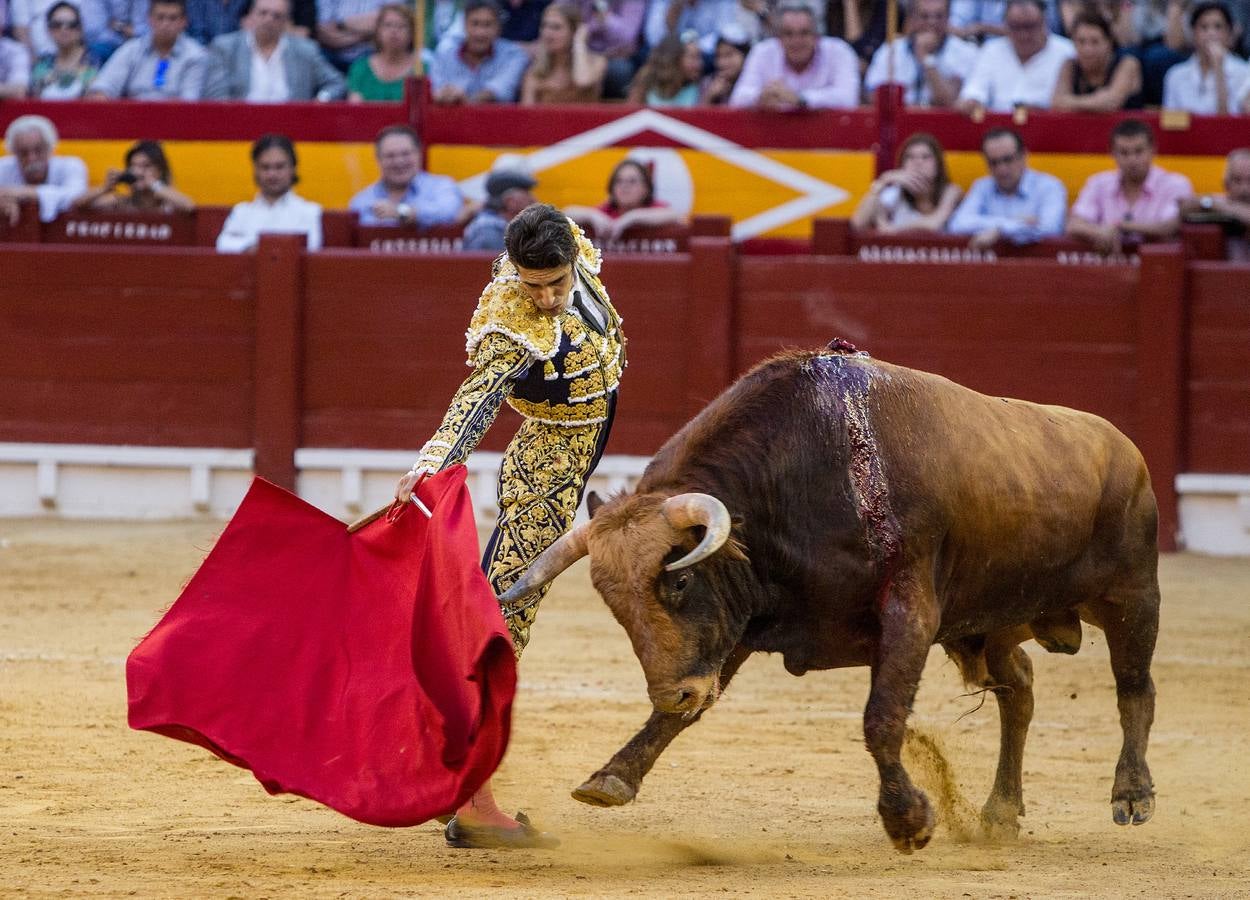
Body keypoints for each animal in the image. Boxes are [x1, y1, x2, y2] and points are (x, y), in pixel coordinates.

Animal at [500, 342, 1160, 850]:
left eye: (680, 580)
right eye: (615, 606)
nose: (675, 689)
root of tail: (1125, 448)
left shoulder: (910, 611)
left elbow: (881, 717)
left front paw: (908, 821)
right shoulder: (743, 624)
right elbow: (677, 719)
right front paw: (612, 778)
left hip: (1132, 595)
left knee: (1134, 688)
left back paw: (1132, 795)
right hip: (989, 623)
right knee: (1019, 688)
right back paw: (1000, 813)